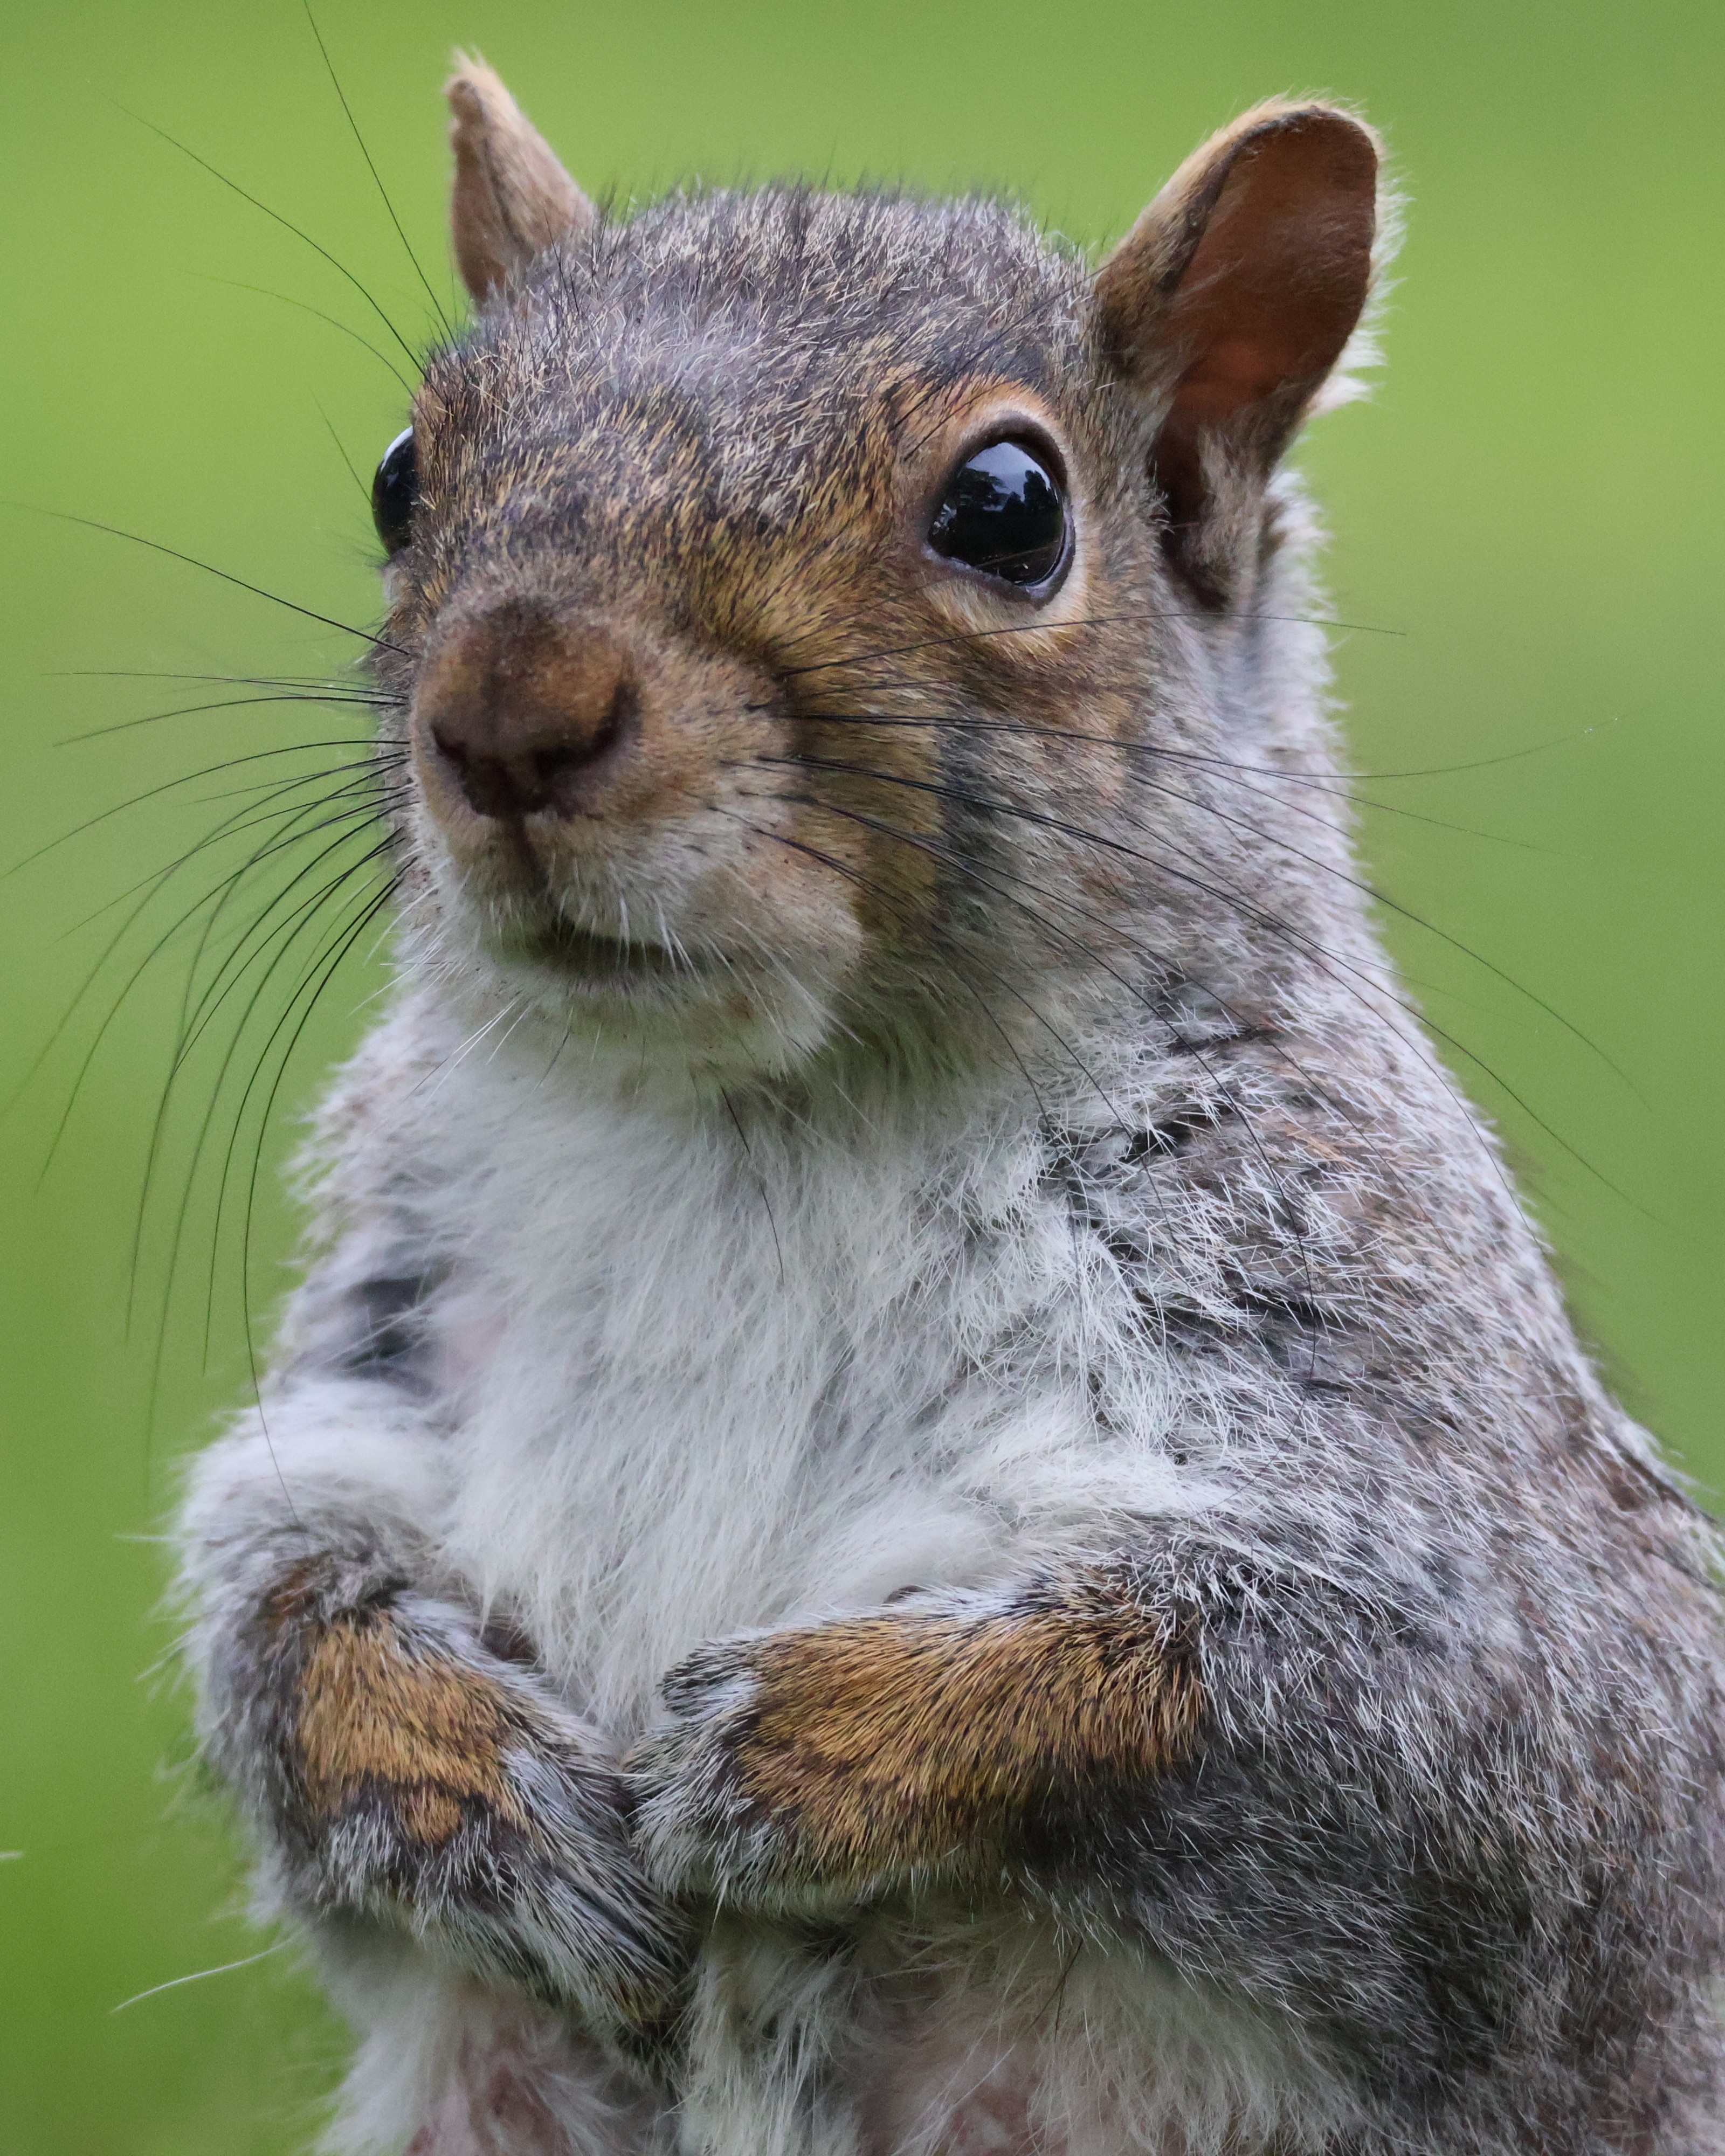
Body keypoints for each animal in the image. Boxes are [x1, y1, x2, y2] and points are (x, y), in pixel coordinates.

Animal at [174, 56, 1725, 2156]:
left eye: (1008, 510)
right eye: (405, 475)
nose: (510, 708)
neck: (759, 1120)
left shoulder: (1475, 1555)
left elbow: (1361, 1712)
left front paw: (814, 1750)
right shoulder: (381, 1369)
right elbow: (278, 1605)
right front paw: (462, 1778)